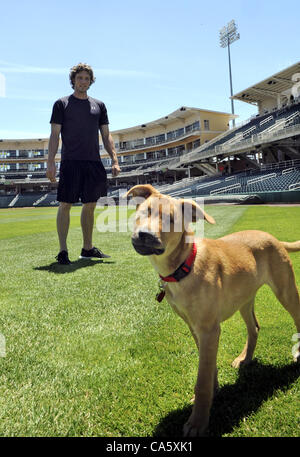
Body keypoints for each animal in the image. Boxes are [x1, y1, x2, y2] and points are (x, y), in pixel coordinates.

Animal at [126, 183, 300, 436]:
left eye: (172, 220)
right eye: (144, 212)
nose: (145, 235)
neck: (184, 267)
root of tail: (273, 238)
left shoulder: (209, 329)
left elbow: (202, 380)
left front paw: (197, 422)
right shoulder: (194, 327)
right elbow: (207, 370)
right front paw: (213, 391)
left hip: (285, 289)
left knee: (296, 317)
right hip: (244, 298)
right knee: (254, 328)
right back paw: (245, 358)